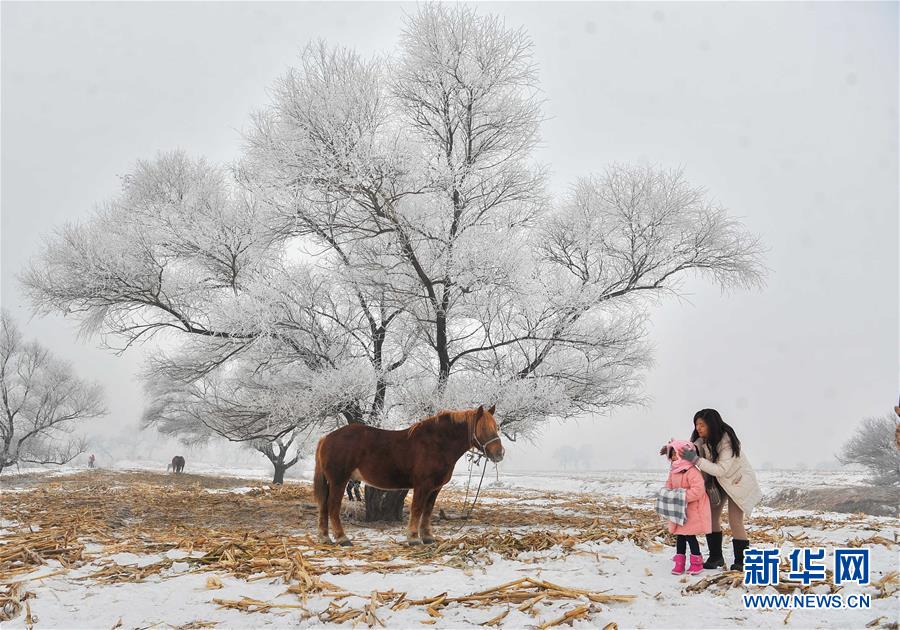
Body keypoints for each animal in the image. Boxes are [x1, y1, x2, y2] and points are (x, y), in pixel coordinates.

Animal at [312, 404, 502, 548]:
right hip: (339, 481)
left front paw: (427, 537)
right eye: (484, 428)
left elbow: (427, 511)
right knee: (333, 507)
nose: (500, 453)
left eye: (497, 427)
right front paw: (413, 538)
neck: (437, 444)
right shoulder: (422, 486)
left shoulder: (435, 488)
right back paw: (342, 538)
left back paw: (325, 537)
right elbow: (417, 509)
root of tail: (326, 438)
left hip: (331, 482)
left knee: (324, 506)